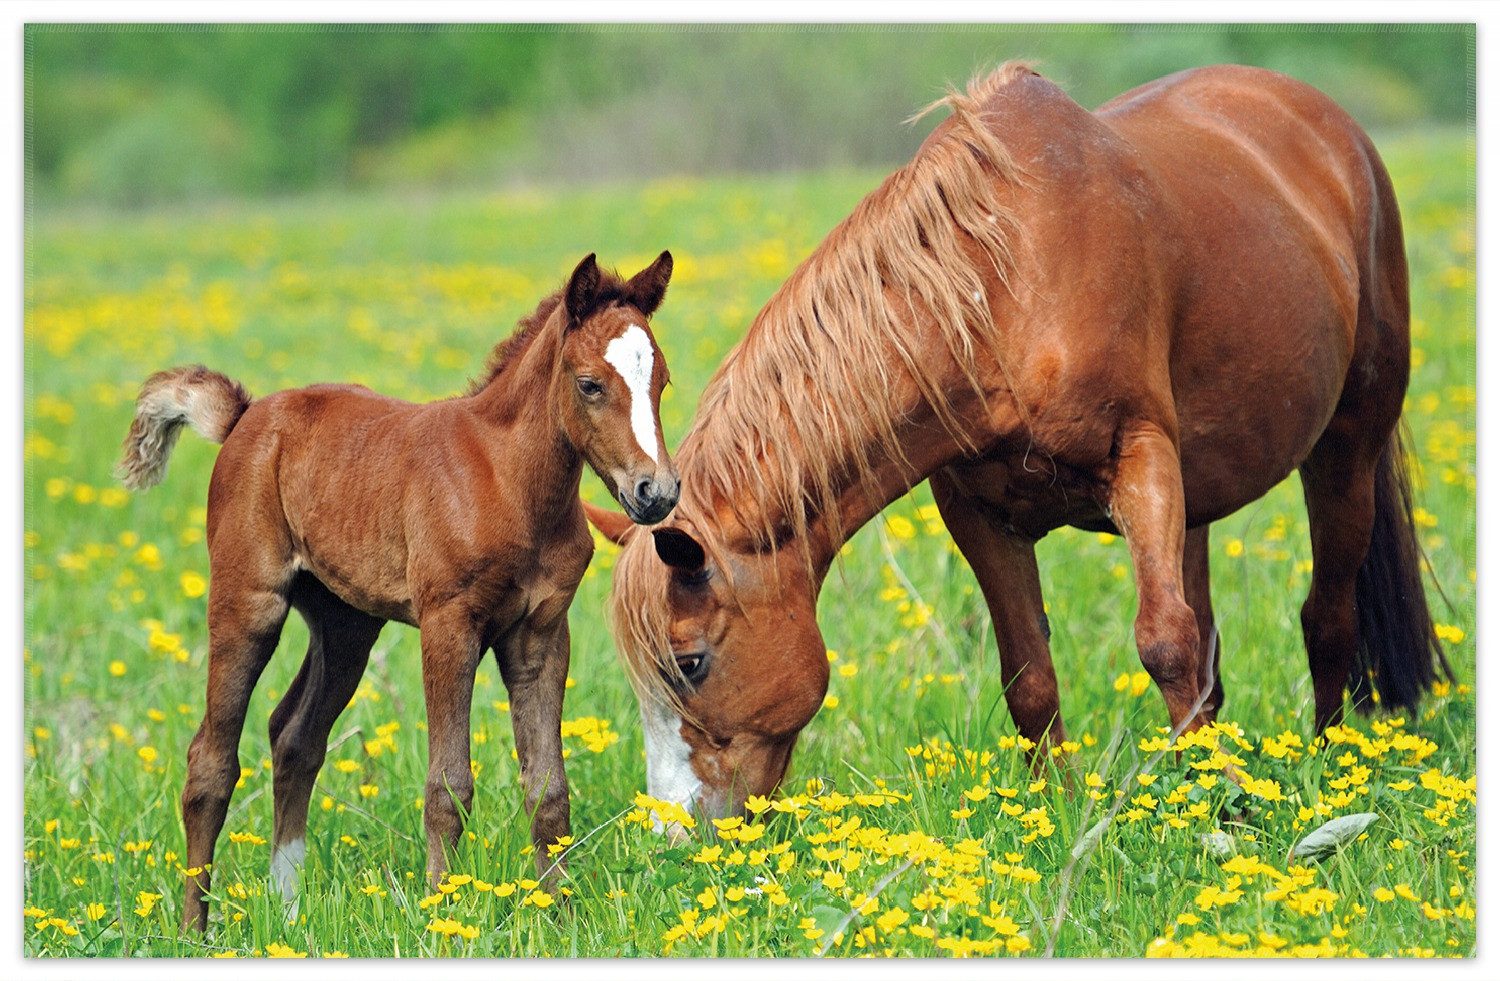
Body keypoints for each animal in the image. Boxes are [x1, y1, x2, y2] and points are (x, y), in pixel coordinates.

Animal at [118, 252, 680, 931]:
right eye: (591, 384)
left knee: (295, 737)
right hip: (248, 601)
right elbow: (449, 785)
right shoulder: (448, 624)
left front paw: (561, 915)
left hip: (346, 625)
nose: (656, 492)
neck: (507, 480)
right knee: (211, 760)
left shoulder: (542, 633)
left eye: (662, 382)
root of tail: (245, 417)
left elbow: (548, 787)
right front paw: (442, 911)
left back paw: (288, 908)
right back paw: (194, 929)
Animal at [587, 63, 1451, 824]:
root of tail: (1331, 129)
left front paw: (1229, 807)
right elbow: (1031, 675)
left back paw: (1328, 765)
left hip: (1346, 445)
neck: (1007, 286)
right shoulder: (979, 512)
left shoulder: (1140, 457)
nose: (676, 830)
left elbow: (1164, 642)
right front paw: (1059, 811)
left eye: (689, 662)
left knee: (1325, 614)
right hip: (1201, 494)